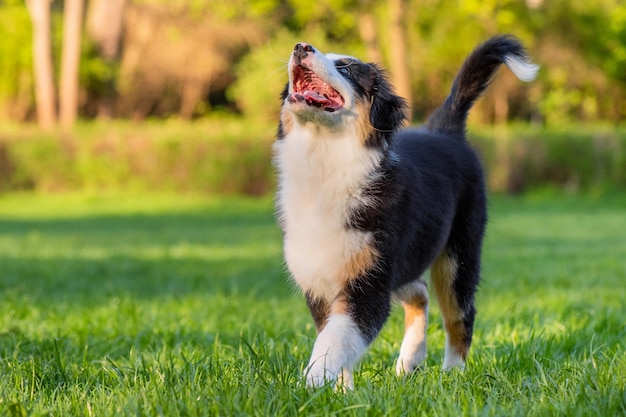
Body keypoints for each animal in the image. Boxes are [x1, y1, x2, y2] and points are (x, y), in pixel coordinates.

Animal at [272, 35, 536, 386]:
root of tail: (443, 130)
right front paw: (341, 390)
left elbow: (333, 340)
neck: (325, 164)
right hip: (406, 258)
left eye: (346, 68)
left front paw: (311, 383)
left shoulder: (369, 284)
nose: (301, 46)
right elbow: (333, 338)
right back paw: (410, 359)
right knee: (420, 290)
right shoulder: (321, 281)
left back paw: (452, 373)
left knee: (460, 316)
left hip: (458, 255)